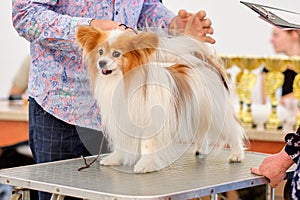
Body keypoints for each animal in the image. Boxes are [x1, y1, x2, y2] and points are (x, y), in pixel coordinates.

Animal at [75, 26, 246, 173]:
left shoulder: (151, 123)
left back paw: (236, 154)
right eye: (100, 52)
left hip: (216, 113)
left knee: (233, 131)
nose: (101, 62)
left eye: (116, 54)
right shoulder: (122, 121)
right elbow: (121, 145)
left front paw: (145, 165)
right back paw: (200, 150)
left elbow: (148, 146)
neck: (122, 80)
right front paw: (115, 159)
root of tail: (202, 64)